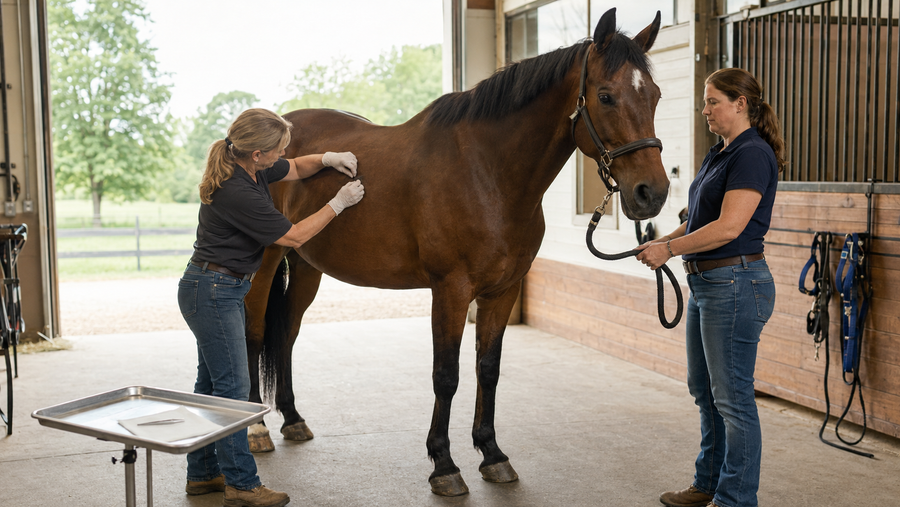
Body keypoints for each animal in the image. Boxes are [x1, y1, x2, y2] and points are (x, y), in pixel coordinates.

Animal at [244, 8, 667, 497]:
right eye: (605, 96)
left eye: (655, 95)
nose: (651, 193)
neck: (487, 172)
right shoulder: (450, 290)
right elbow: (446, 375)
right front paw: (444, 465)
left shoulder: (502, 291)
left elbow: (488, 369)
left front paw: (493, 454)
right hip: (265, 262)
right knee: (254, 330)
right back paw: (255, 428)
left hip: (306, 265)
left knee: (287, 333)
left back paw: (292, 419)